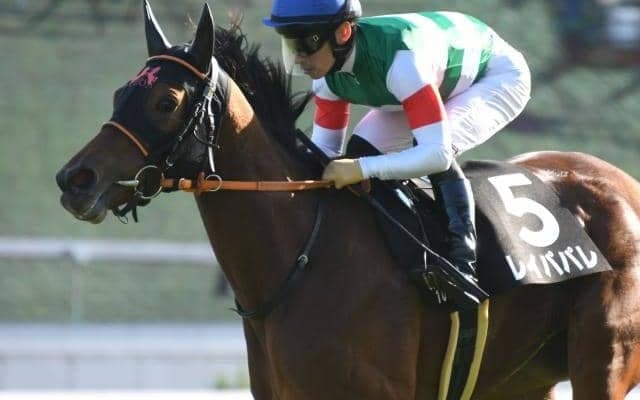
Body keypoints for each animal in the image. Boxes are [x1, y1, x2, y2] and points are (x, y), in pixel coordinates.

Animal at [55, 2, 640, 399]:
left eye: (165, 100)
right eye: (120, 94)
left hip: (601, 361)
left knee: (443, 149)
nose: (74, 179)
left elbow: (433, 149)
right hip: (520, 379)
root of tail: (624, 185)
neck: (302, 259)